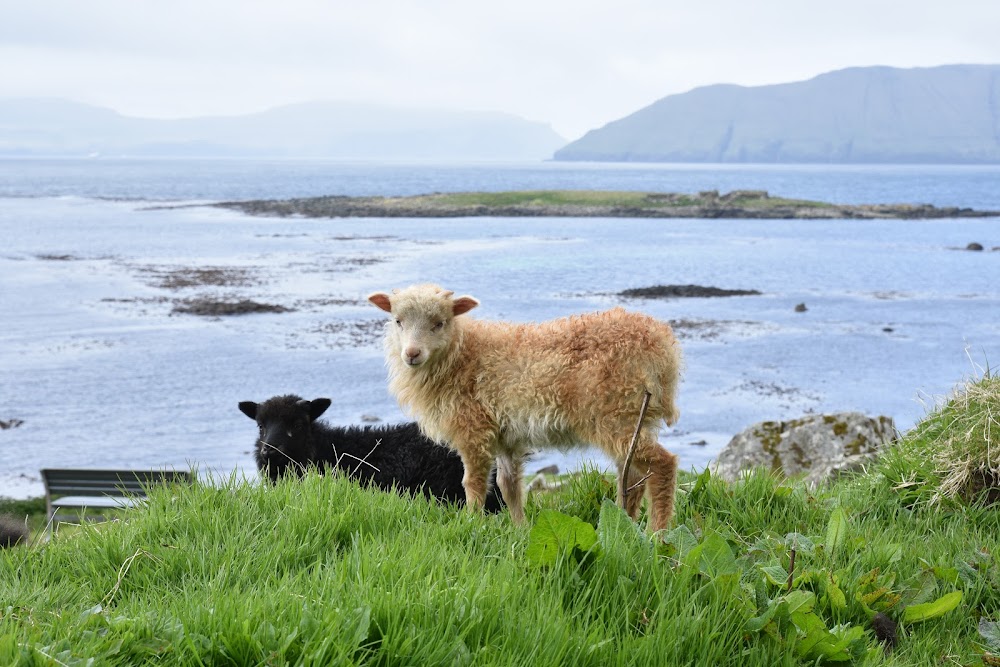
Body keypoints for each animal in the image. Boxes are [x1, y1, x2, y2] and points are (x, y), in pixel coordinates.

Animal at [372, 284, 684, 532]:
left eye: (439, 323)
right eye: (398, 321)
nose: (412, 354)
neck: (462, 355)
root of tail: (663, 348)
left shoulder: (474, 427)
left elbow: (473, 483)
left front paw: (472, 522)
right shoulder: (505, 435)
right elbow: (509, 486)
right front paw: (519, 529)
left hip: (615, 414)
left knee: (662, 465)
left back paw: (657, 535)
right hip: (633, 417)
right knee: (632, 475)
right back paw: (624, 525)